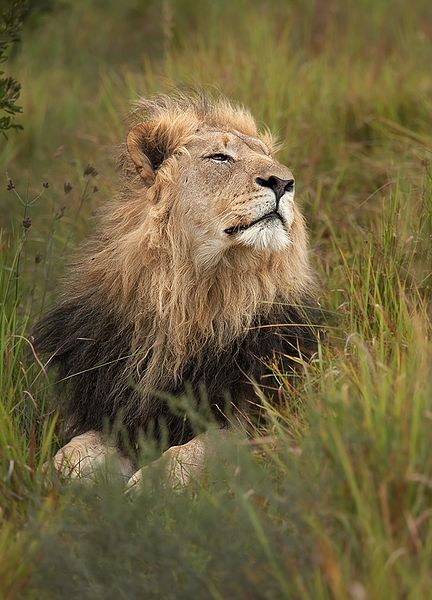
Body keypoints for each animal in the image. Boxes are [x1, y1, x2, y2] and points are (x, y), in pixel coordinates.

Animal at [34, 92, 318, 488]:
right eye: (220, 157)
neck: (188, 297)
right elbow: (75, 450)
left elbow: (193, 453)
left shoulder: (253, 421)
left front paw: (148, 488)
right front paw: (44, 480)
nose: (284, 182)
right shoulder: (117, 410)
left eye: (270, 159)